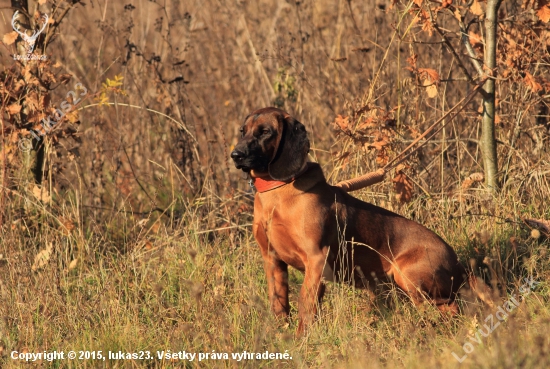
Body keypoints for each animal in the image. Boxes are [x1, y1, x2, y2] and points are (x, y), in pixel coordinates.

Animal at [231, 106, 494, 334]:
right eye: (242, 131)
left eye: (265, 132)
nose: (236, 155)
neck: (277, 192)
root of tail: (460, 266)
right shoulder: (272, 260)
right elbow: (279, 305)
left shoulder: (316, 259)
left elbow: (306, 307)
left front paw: (301, 340)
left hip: (406, 273)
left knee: (450, 309)